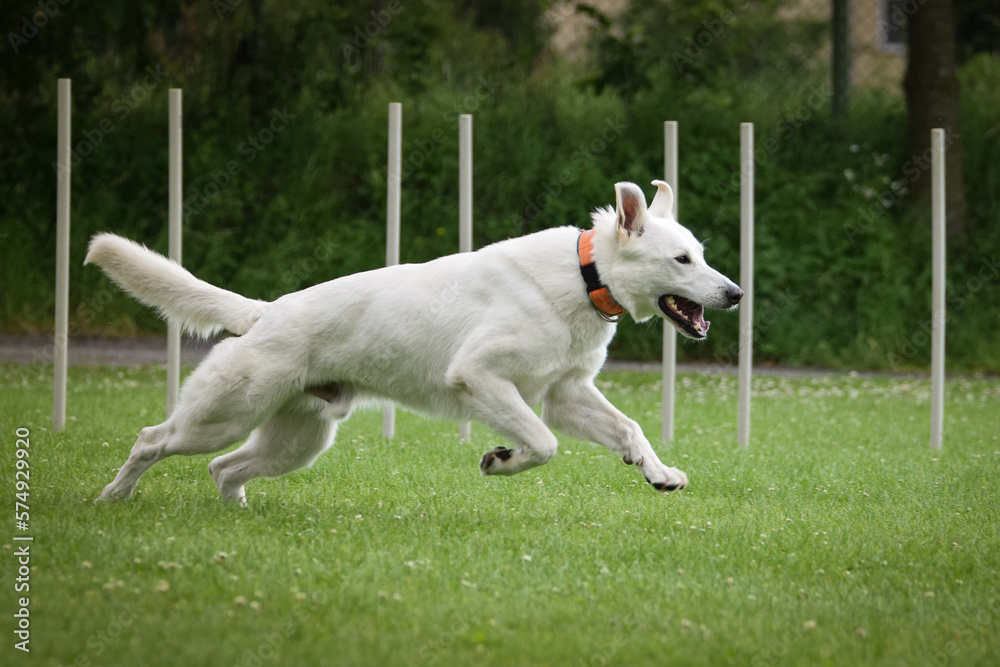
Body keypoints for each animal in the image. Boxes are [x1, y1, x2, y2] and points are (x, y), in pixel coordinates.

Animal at [86, 180, 744, 504]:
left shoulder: (567, 393)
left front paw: (658, 473)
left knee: (225, 469)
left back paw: (235, 519)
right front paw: (502, 460)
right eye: (682, 260)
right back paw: (112, 497)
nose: (736, 294)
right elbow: (544, 443)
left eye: (701, 254)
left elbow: (629, 429)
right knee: (151, 441)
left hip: (297, 441)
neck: (586, 278)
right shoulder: (481, 377)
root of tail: (264, 313)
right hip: (223, 415)